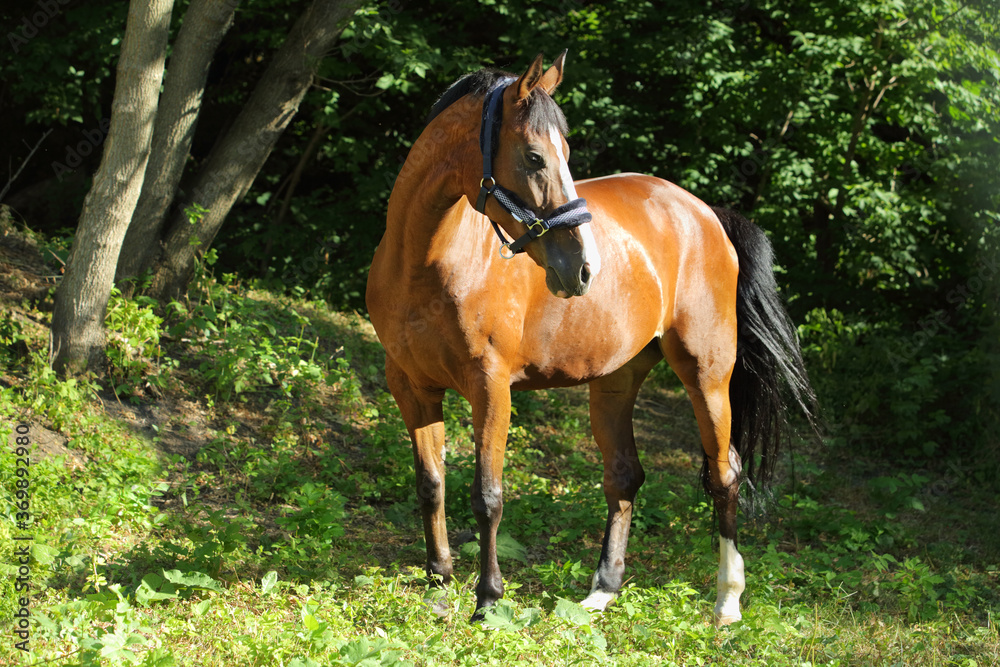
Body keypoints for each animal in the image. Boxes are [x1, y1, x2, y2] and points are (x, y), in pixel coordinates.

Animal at [366, 51, 817, 625]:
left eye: (565, 155)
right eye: (535, 157)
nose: (582, 268)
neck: (426, 262)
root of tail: (706, 214)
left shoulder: (490, 387)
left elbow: (487, 496)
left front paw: (488, 600)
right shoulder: (411, 386)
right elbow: (430, 484)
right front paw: (438, 585)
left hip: (708, 376)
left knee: (725, 475)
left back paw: (727, 601)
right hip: (614, 381)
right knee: (623, 475)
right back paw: (602, 590)